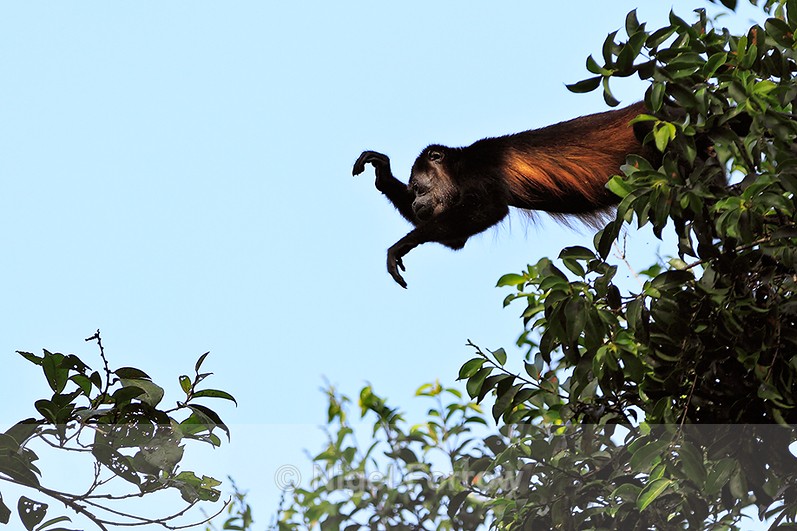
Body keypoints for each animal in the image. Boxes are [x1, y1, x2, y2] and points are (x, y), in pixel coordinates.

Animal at [353, 102, 658, 288]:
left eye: (417, 187)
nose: (415, 202)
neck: (458, 168)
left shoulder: (480, 168)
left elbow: (488, 209)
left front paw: (401, 245)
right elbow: (456, 239)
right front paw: (382, 174)